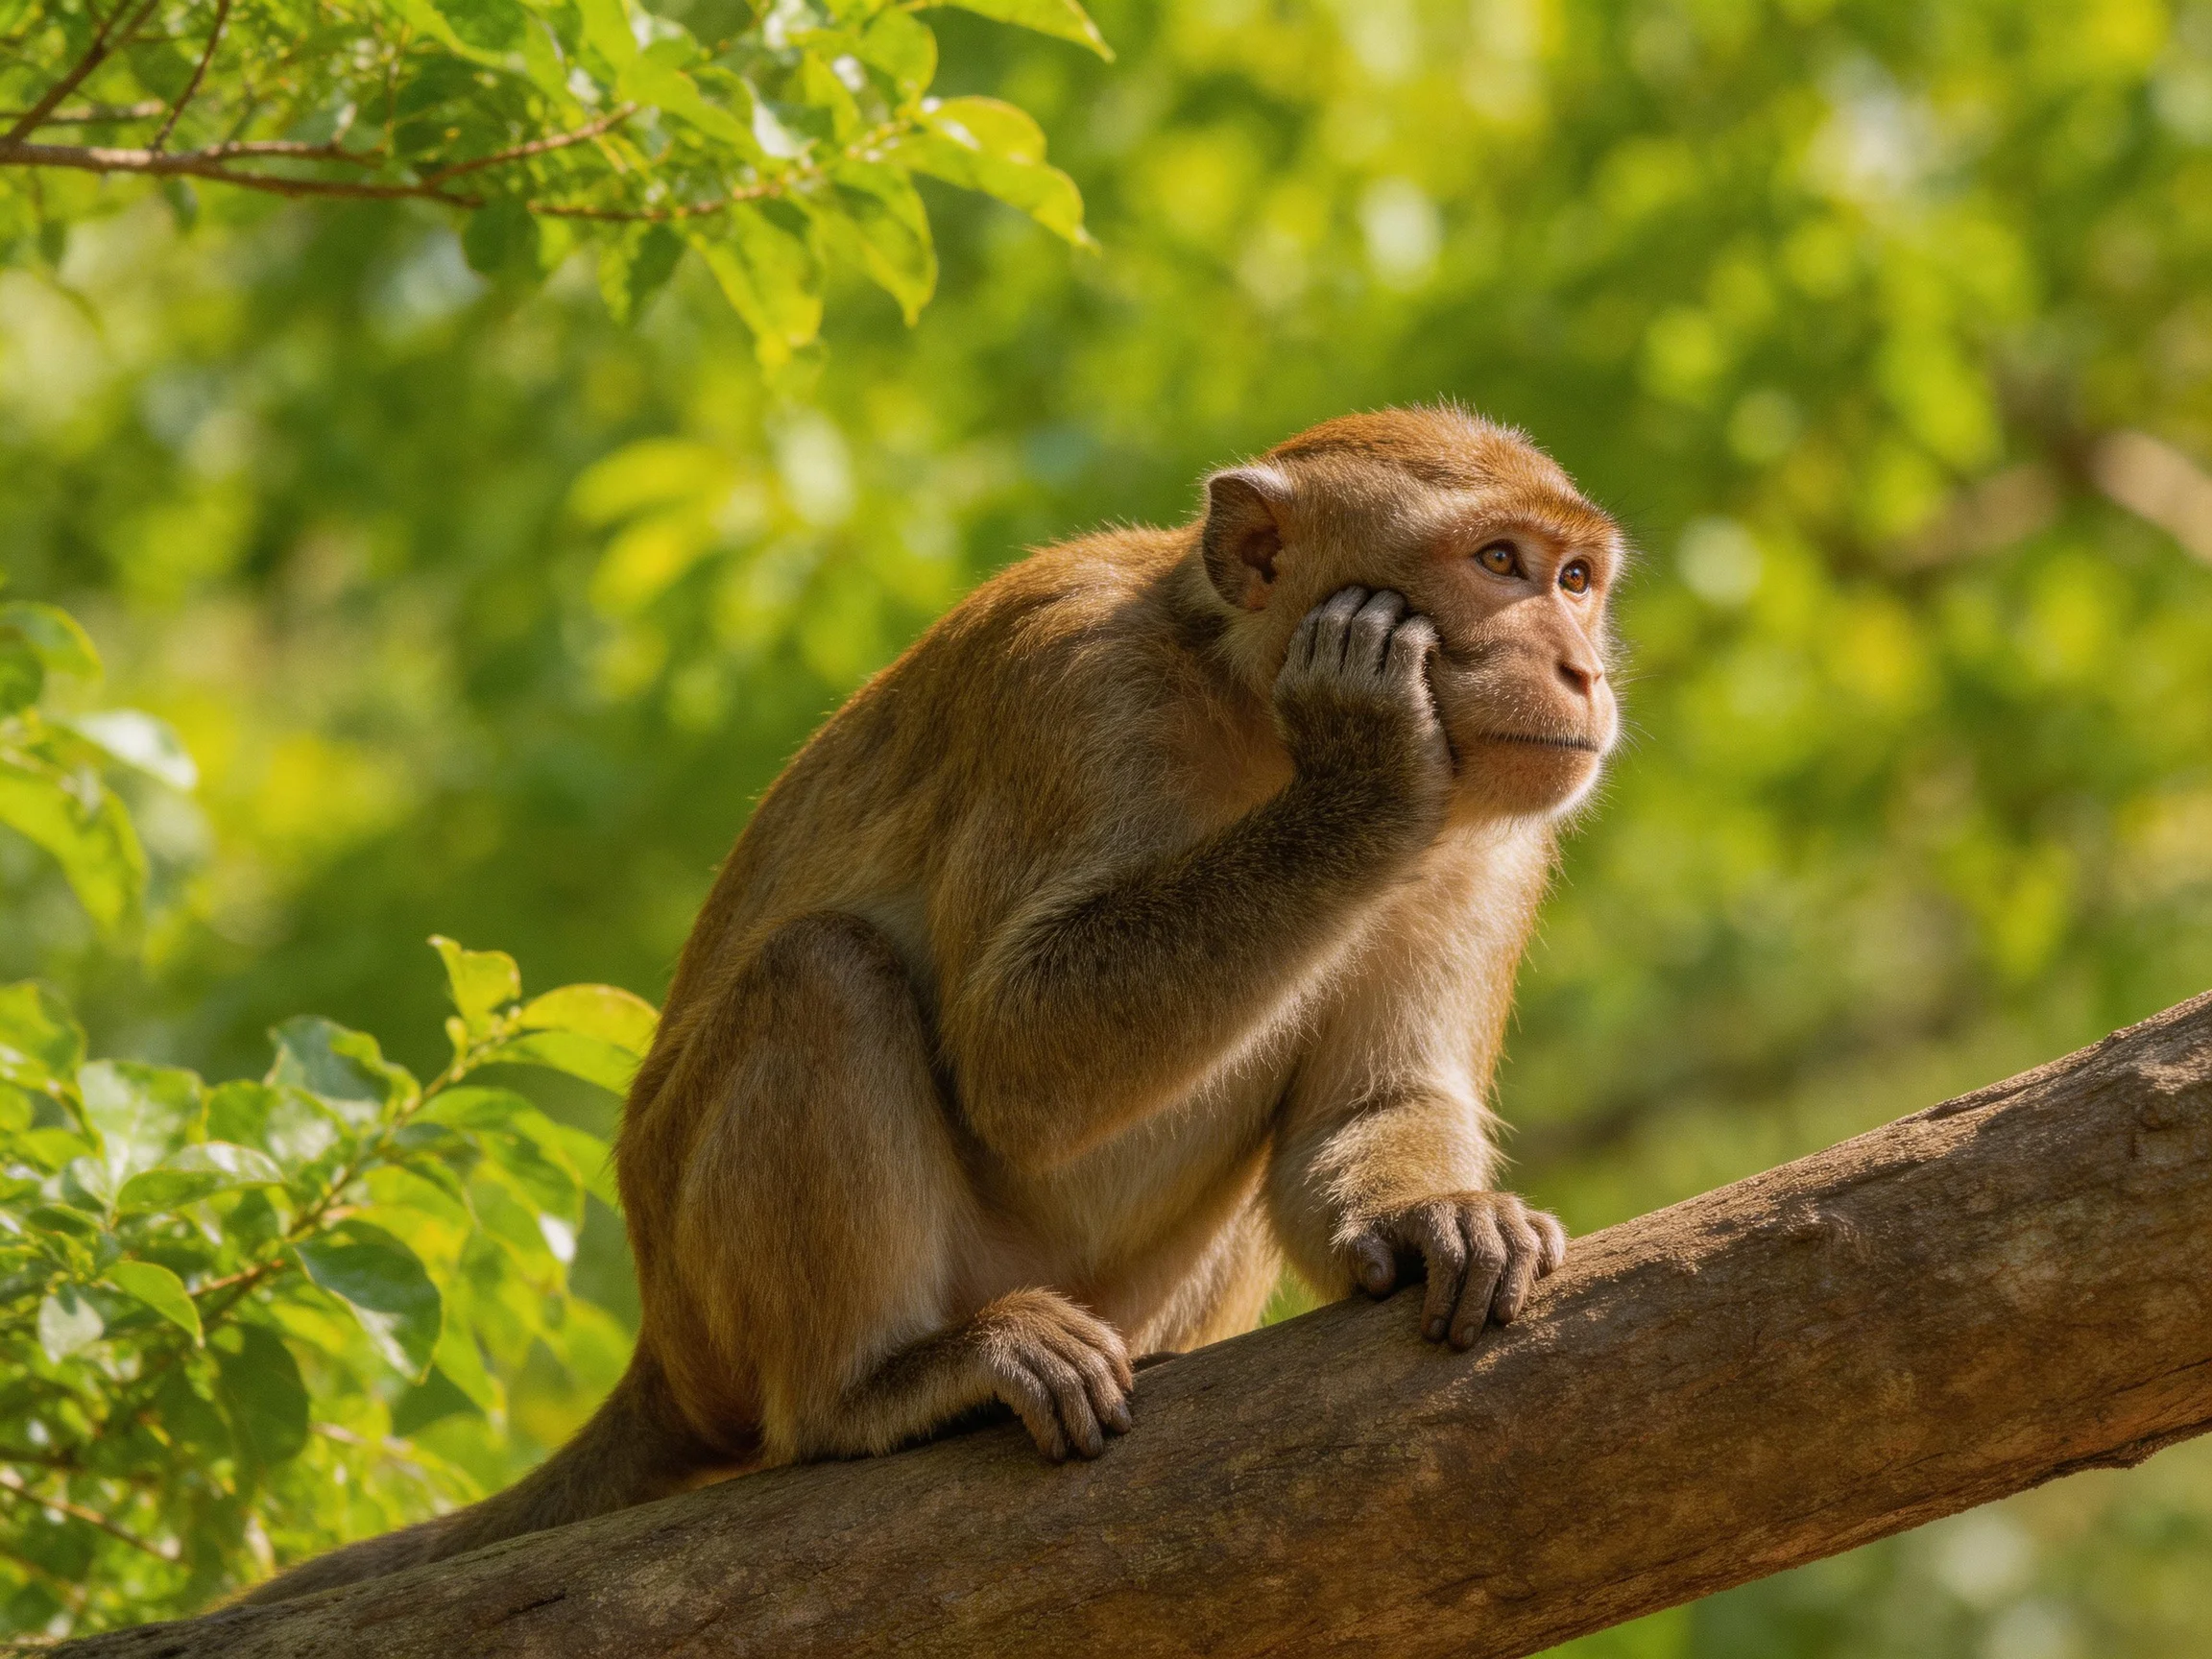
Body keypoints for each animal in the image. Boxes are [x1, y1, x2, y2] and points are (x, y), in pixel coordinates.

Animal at [247, 403, 1623, 1602]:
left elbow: (1372, 1102)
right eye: (1498, 563)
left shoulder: (1491, 842)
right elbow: (1016, 1061)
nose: (1580, 671)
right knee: (822, 976)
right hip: (726, 1306)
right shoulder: (1067, 686)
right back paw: (875, 1390)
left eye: (1574, 579)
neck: (1246, 712)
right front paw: (1362, 771)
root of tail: (664, 1357)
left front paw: (1442, 1220)